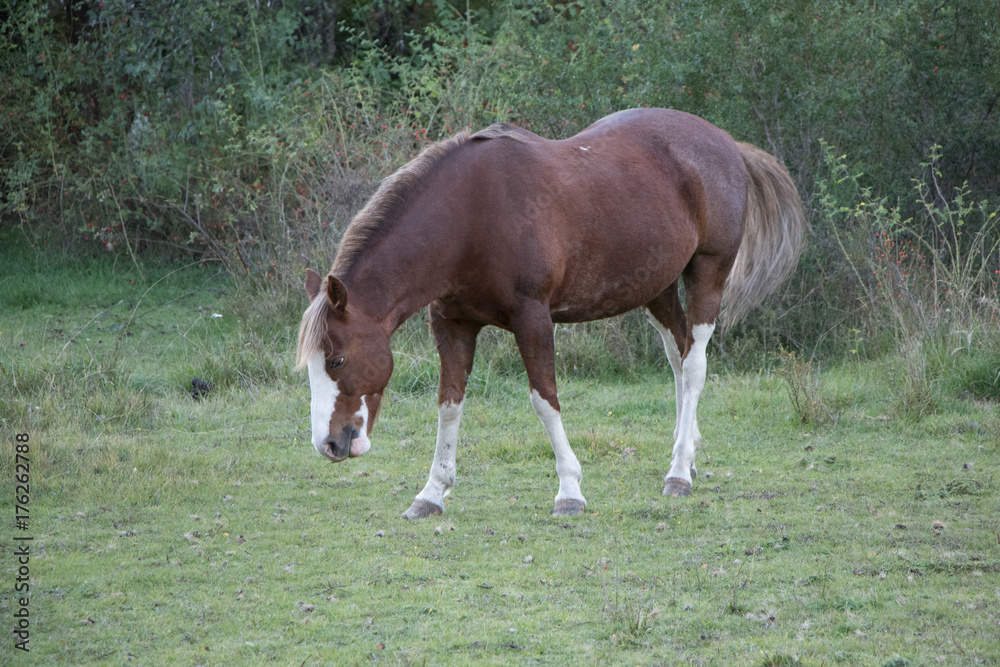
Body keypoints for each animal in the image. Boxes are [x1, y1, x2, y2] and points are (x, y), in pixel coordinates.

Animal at [296, 108, 805, 519]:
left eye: (337, 360)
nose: (330, 444)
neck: (469, 216)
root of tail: (726, 143)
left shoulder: (533, 319)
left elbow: (545, 400)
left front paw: (569, 491)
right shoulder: (453, 324)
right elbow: (449, 405)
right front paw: (431, 494)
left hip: (708, 273)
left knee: (695, 364)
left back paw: (678, 472)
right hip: (657, 288)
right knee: (678, 358)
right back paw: (689, 454)